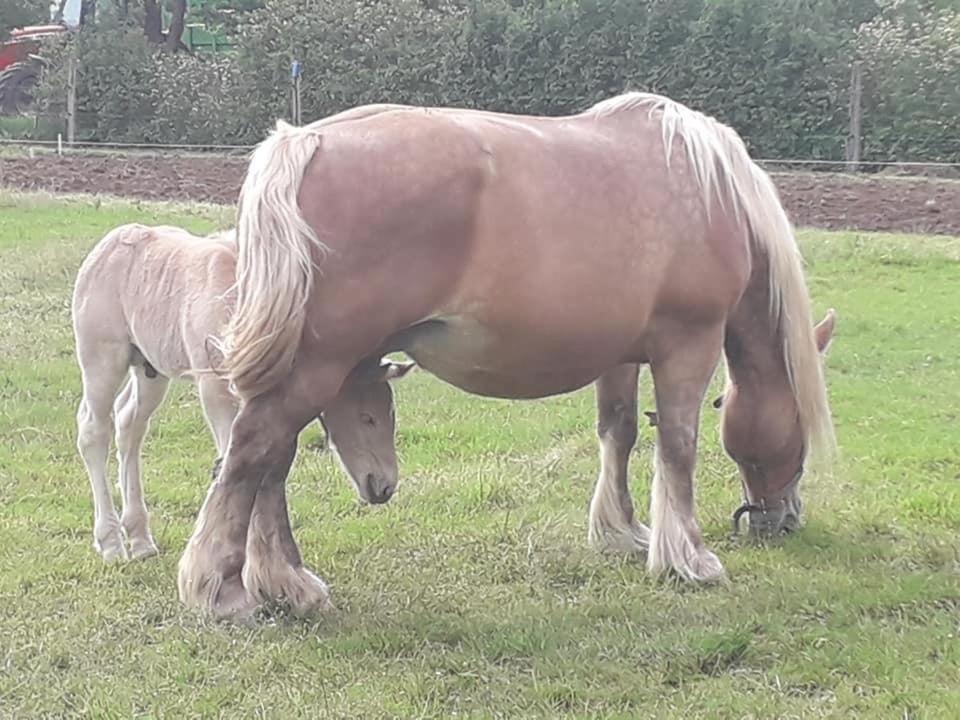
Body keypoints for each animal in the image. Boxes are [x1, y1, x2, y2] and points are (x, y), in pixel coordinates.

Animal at [69, 225, 410, 564]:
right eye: (367, 418)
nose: (385, 486)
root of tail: (109, 243)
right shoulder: (214, 388)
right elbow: (234, 456)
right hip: (103, 357)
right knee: (94, 429)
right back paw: (111, 543)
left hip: (150, 368)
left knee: (129, 423)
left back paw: (140, 539)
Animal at [176, 91, 836, 620]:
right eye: (801, 431)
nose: (784, 519)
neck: (712, 194)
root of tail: (305, 143)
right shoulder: (687, 344)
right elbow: (678, 446)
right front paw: (690, 558)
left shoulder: (622, 354)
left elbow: (619, 433)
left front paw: (623, 532)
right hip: (316, 366)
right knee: (255, 451)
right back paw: (225, 590)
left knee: (271, 460)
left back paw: (285, 583)